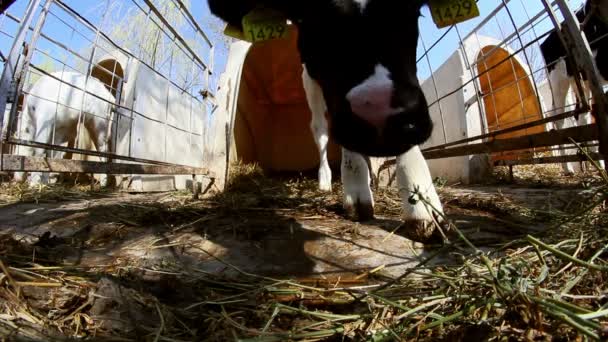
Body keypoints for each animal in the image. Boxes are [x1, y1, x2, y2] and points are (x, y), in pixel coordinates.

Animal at [211, 0, 444, 240]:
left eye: (413, 13)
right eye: (314, 22)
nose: (377, 111)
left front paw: (421, 201)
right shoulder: (315, 75)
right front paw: (356, 188)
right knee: (320, 129)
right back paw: (325, 180)